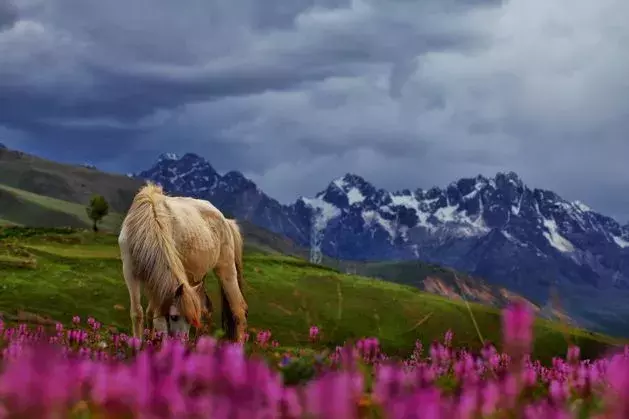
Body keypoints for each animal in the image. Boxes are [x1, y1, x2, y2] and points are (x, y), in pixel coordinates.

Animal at [118, 184, 248, 344]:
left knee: (238, 309)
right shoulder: (130, 272)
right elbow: (139, 313)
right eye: (174, 317)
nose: (181, 342)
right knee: (207, 309)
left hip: (226, 269)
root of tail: (226, 221)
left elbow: (154, 313)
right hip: (197, 279)